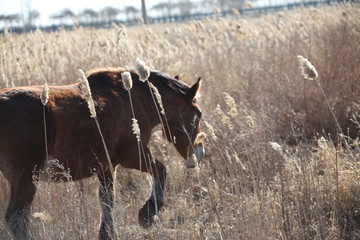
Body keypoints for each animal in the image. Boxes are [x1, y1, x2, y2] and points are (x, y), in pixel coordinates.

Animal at [0, 68, 202, 240]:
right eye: (198, 115)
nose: (198, 154)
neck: (131, 97)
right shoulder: (133, 156)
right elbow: (161, 170)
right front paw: (148, 212)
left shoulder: (106, 167)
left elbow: (107, 200)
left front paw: (107, 233)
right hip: (26, 178)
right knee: (17, 217)